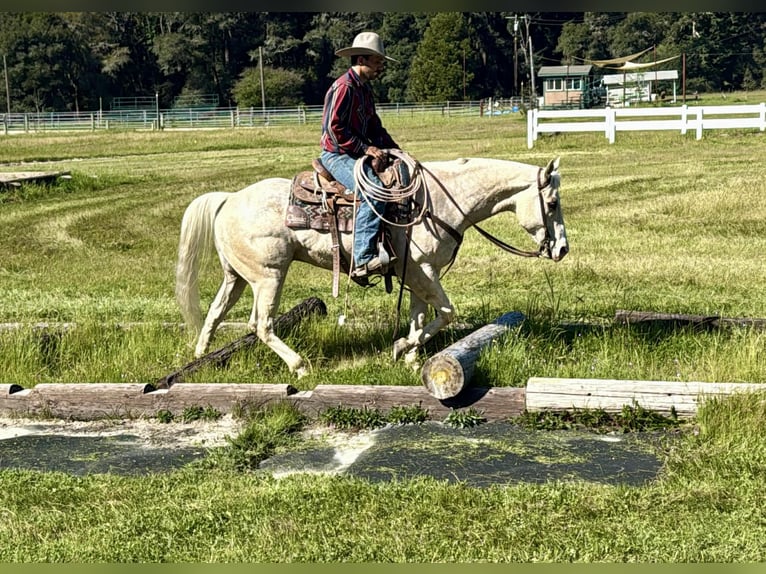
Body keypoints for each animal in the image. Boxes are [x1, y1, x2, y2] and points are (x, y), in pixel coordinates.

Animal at [175, 155, 568, 378]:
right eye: (551, 202)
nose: (562, 249)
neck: (436, 204)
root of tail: (228, 199)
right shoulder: (422, 271)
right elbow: (446, 312)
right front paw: (401, 348)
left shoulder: (419, 274)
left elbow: (421, 316)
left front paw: (411, 357)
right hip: (269, 276)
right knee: (261, 325)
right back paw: (300, 367)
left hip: (238, 277)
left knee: (215, 313)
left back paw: (198, 360)